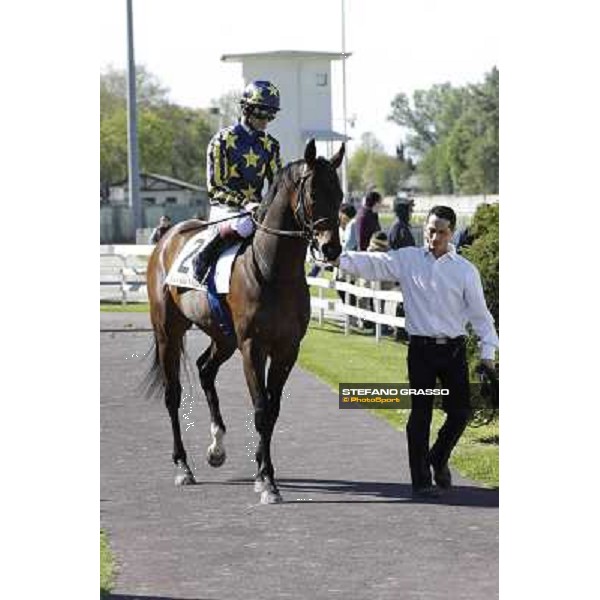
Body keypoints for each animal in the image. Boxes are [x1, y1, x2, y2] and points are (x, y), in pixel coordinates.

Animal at [145, 139, 344, 502]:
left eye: (339, 194)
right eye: (312, 194)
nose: (331, 248)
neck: (272, 272)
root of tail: (168, 237)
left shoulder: (287, 349)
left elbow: (273, 410)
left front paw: (262, 469)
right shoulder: (253, 346)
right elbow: (261, 409)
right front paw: (266, 480)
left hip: (223, 337)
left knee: (205, 369)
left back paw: (216, 448)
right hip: (168, 332)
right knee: (172, 395)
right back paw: (183, 466)